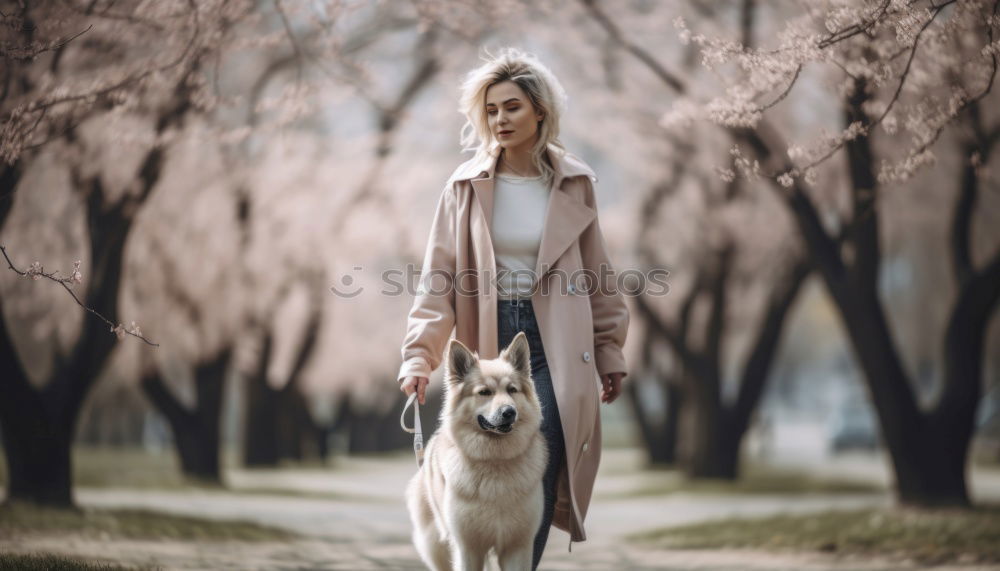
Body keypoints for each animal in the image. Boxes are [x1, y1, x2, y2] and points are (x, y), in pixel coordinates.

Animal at [404, 330, 548, 571]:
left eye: (512, 390)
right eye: (485, 392)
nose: (509, 412)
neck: (495, 461)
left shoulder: (518, 546)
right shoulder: (467, 548)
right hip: (436, 545)